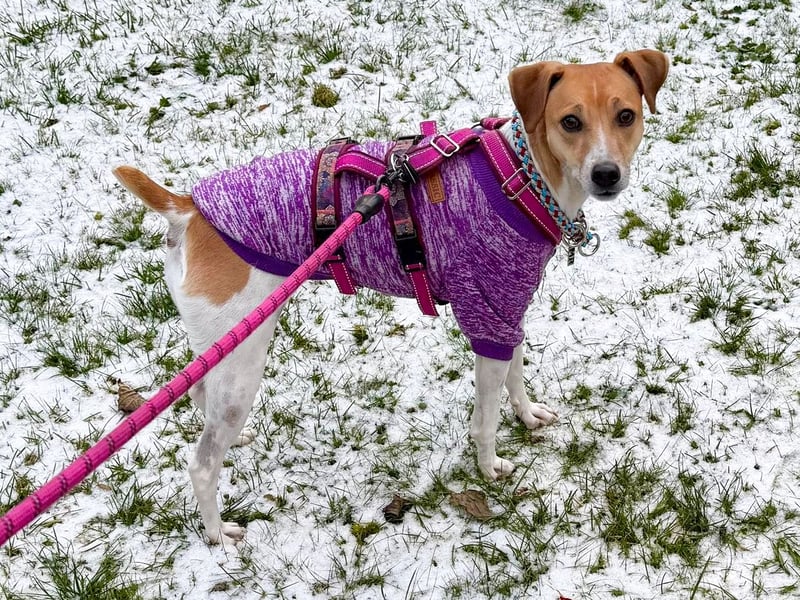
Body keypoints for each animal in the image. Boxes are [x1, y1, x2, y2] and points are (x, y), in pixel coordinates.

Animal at [114, 49, 669, 546]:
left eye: (626, 115)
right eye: (570, 121)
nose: (606, 174)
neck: (520, 176)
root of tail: (187, 208)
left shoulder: (507, 309)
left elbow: (516, 376)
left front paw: (528, 417)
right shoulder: (486, 313)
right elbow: (486, 416)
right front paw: (489, 466)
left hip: (222, 345)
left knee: (198, 394)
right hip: (244, 360)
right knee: (202, 463)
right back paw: (217, 533)